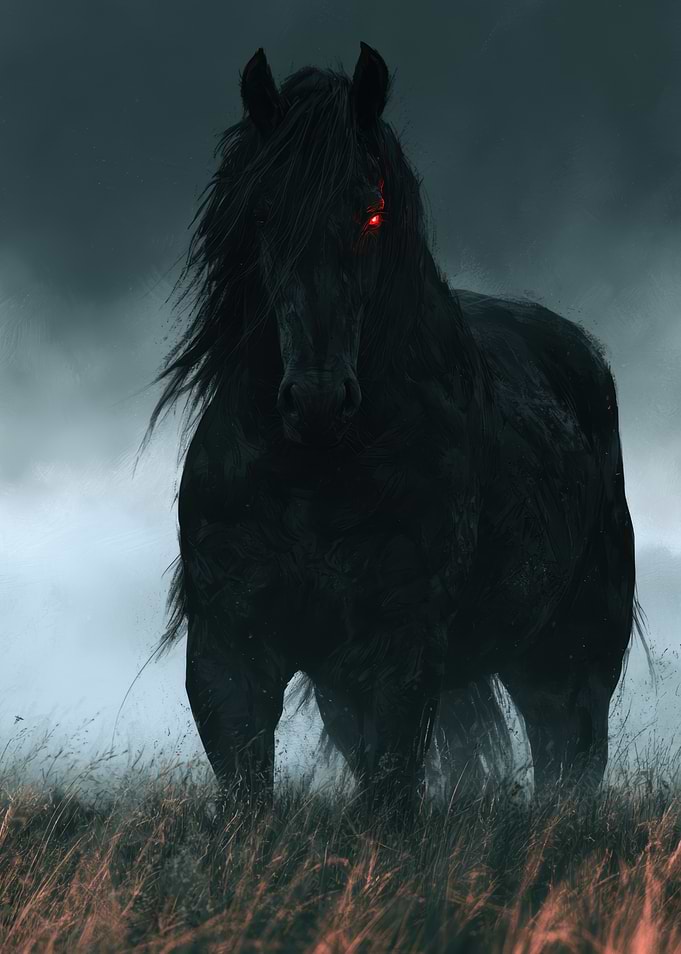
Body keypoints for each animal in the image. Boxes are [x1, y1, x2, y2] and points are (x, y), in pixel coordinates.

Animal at [150, 42, 645, 815]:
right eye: (262, 212)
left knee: (568, 767)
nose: (317, 401)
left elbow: (387, 803)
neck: (313, 477)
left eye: (373, 213)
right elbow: (247, 800)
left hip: (570, 660)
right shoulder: (230, 652)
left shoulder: (400, 656)